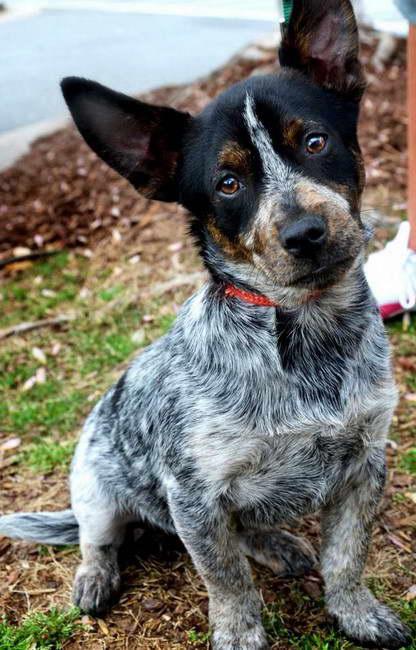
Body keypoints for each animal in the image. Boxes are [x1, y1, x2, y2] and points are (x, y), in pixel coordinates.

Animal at [0, 1, 412, 648]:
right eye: (228, 184)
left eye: (315, 141)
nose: (304, 233)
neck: (303, 330)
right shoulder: (194, 496)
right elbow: (228, 581)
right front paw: (240, 634)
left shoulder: (365, 463)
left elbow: (347, 557)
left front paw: (357, 614)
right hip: (95, 487)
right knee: (99, 539)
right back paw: (94, 576)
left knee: (245, 532)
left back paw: (277, 543)